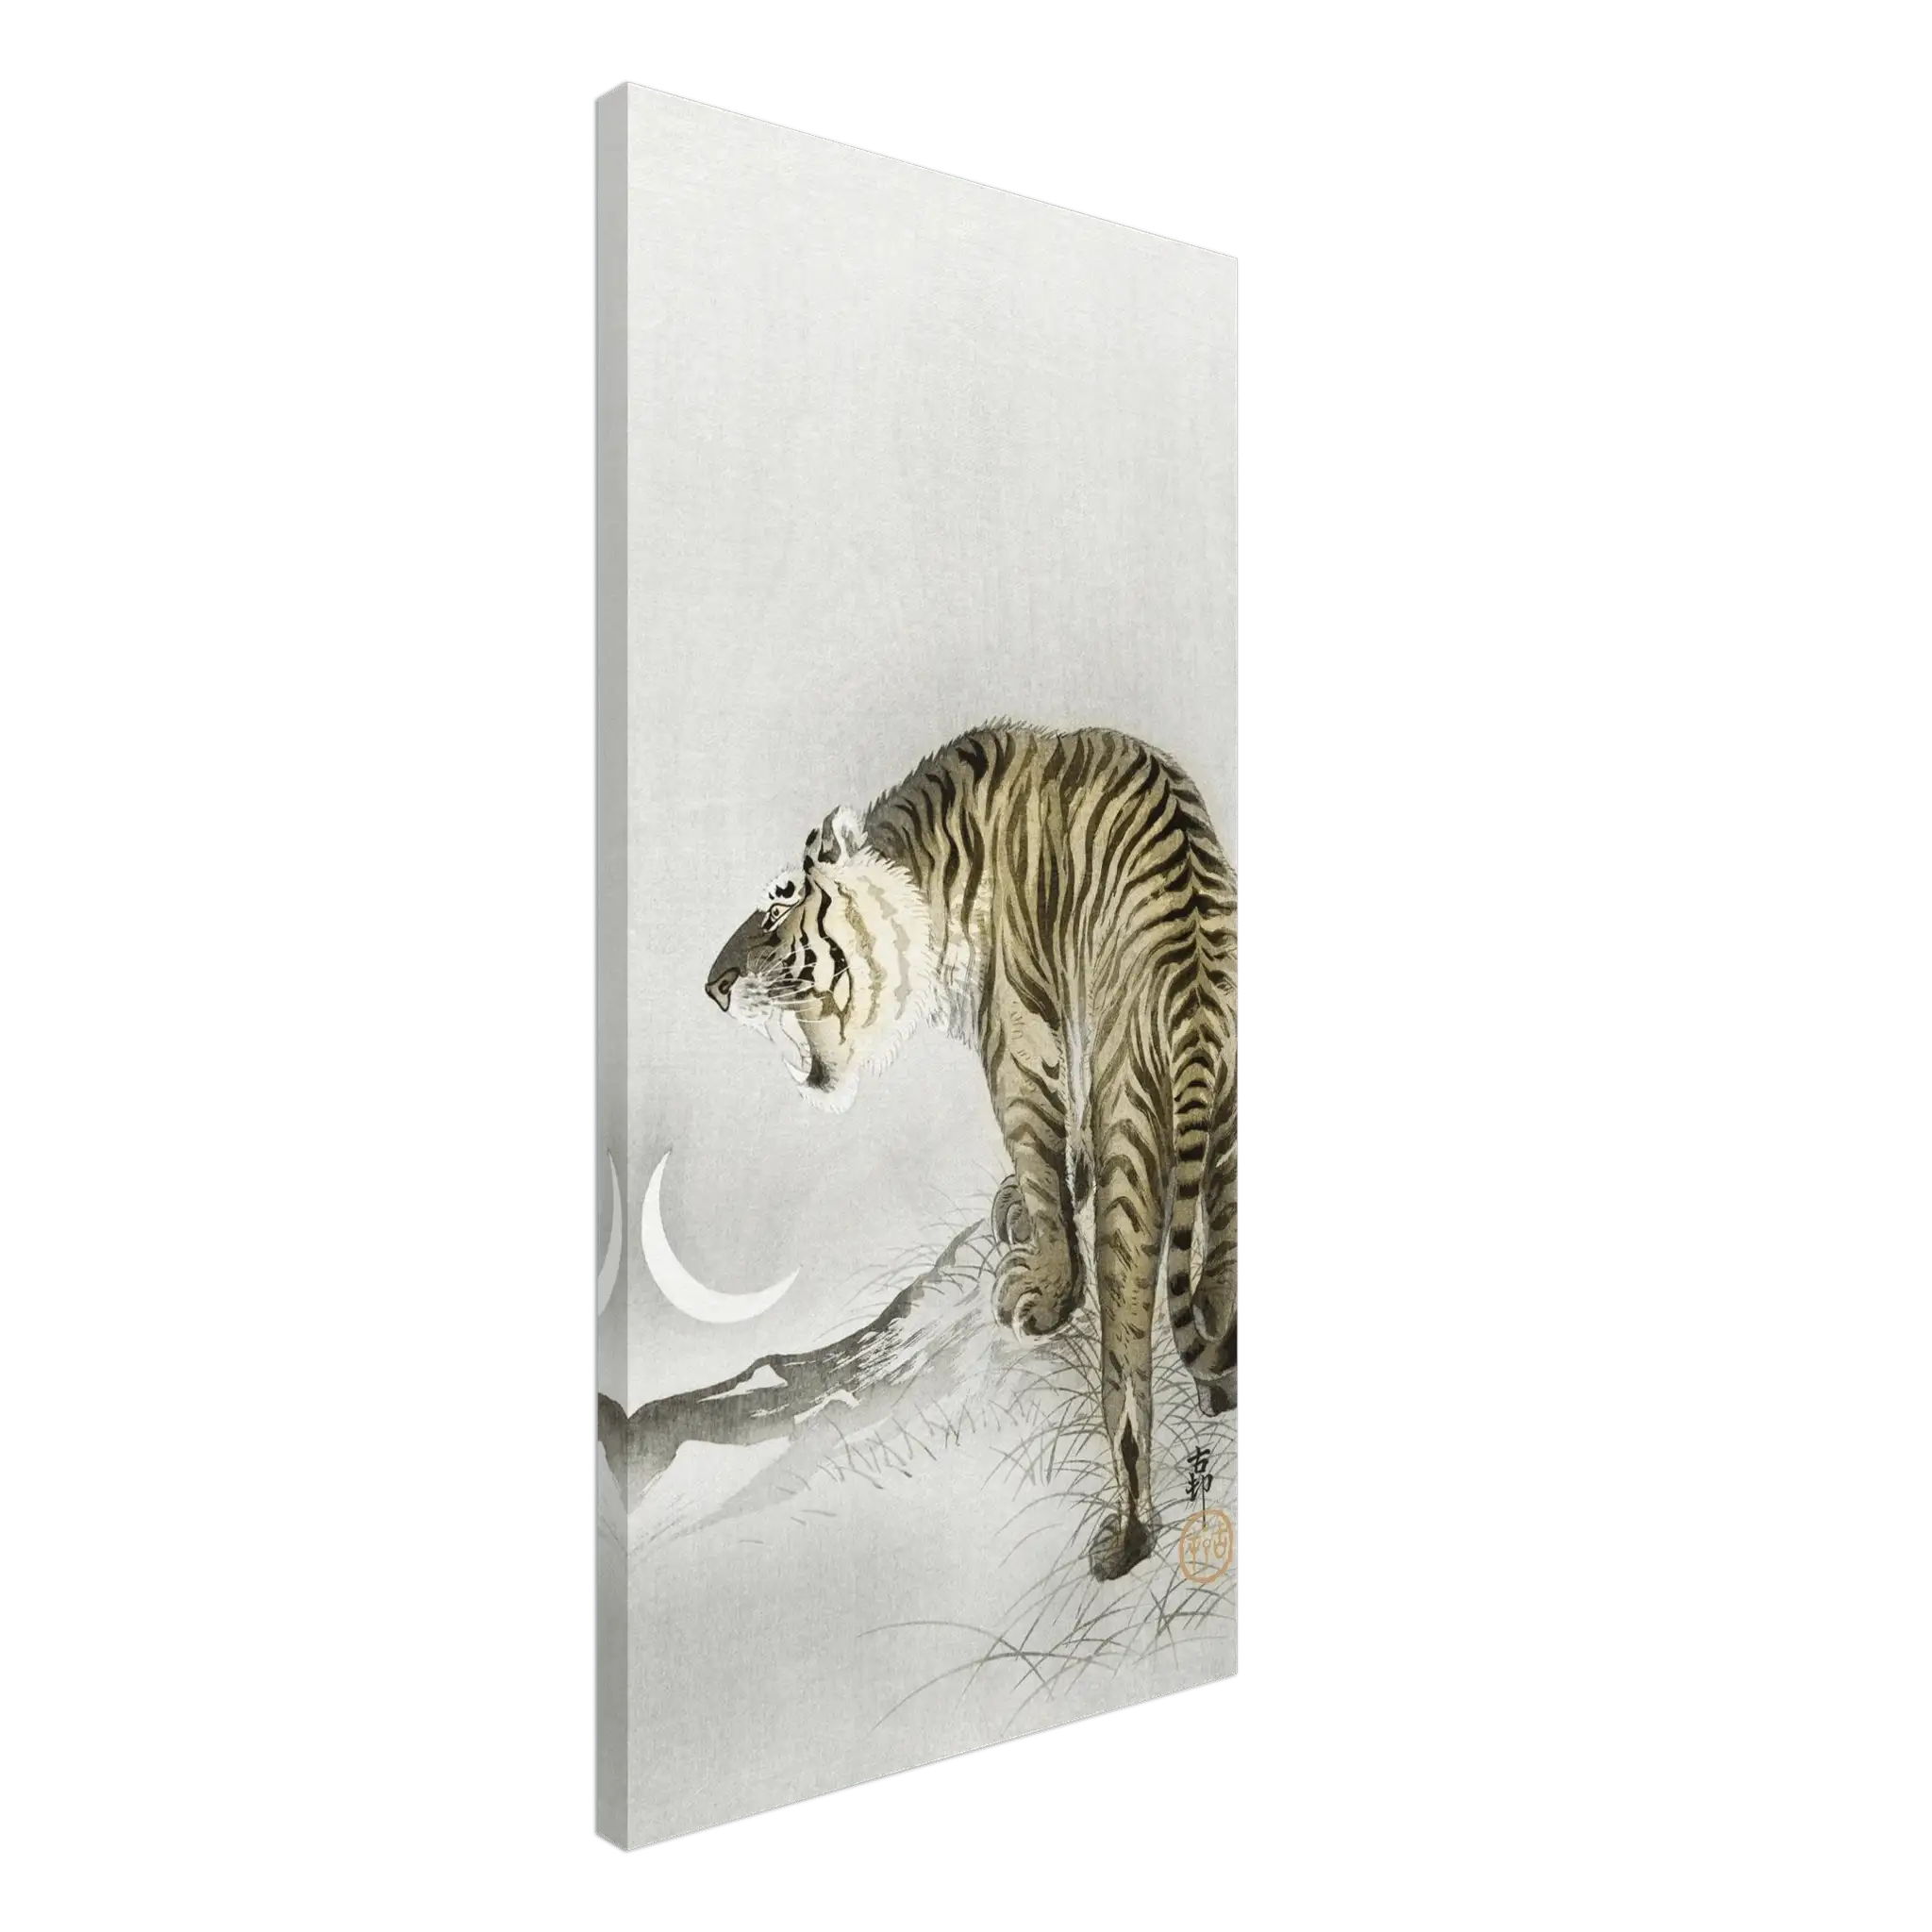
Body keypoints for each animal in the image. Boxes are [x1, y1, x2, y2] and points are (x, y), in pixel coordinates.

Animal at [705, 723, 1238, 1580]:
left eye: (778, 907)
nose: (713, 987)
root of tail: (1196, 1001)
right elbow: (1062, 1151)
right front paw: (1029, 1206)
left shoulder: (1017, 1035)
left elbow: (1037, 1152)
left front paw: (1045, 1290)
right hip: (1226, 1141)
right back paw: (1221, 1390)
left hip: (1135, 1132)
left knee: (1128, 1366)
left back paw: (1125, 1538)